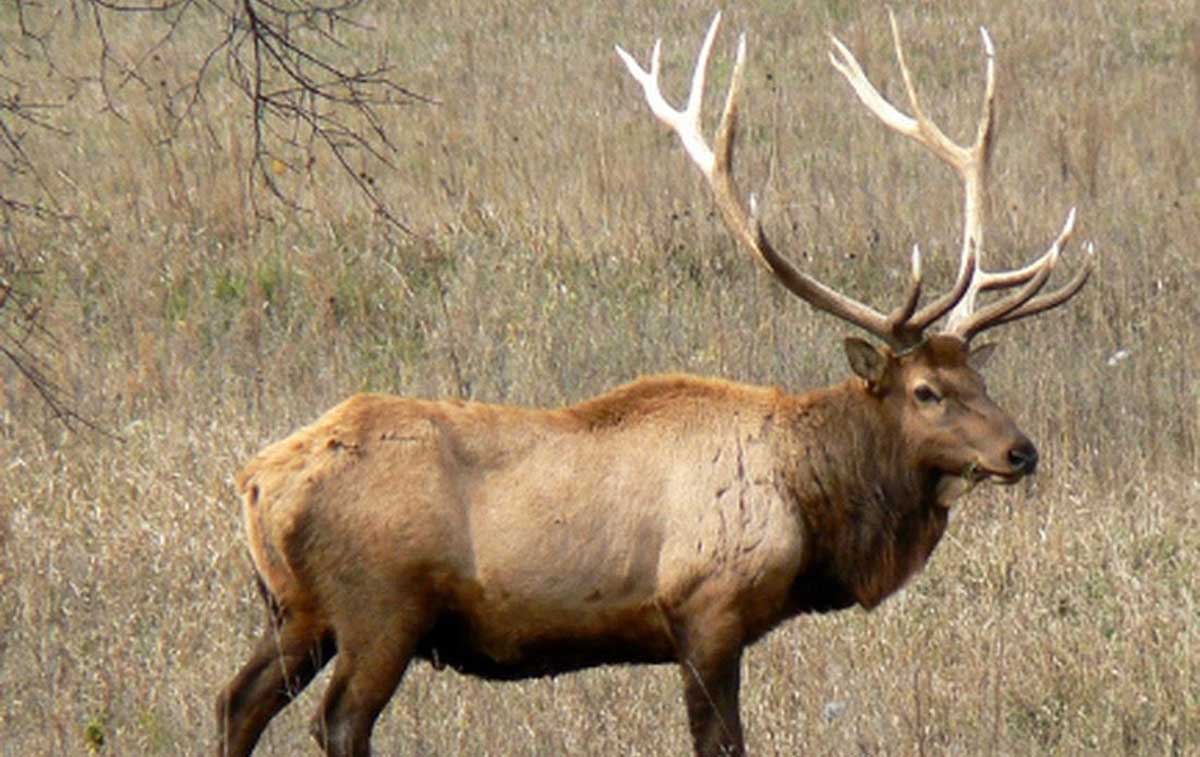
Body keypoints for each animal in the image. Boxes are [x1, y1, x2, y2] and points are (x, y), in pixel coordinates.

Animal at [216, 11, 1092, 757]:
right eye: (926, 392)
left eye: (978, 373)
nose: (1021, 451)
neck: (811, 502)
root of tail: (255, 480)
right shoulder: (706, 608)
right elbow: (721, 742)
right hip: (379, 605)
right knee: (337, 720)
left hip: (298, 609)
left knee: (236, 701)